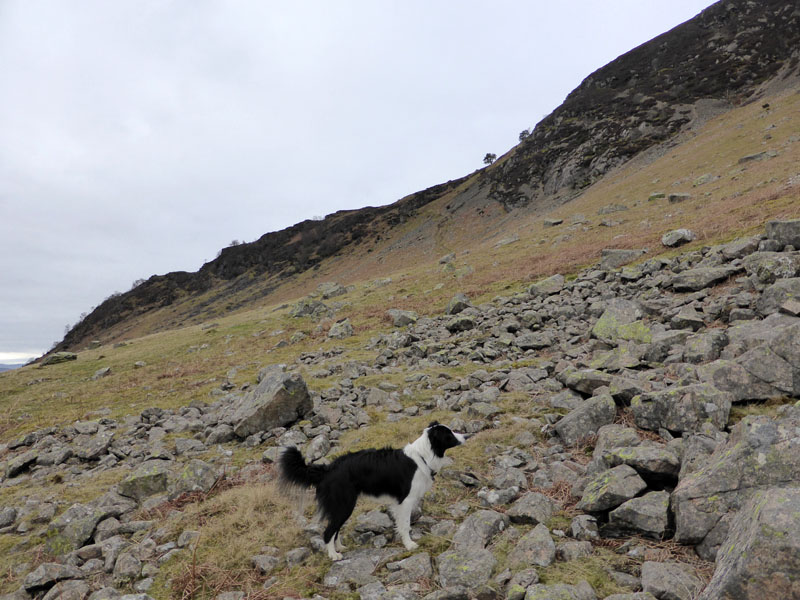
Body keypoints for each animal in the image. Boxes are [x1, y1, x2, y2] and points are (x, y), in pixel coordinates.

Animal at [280, 422, 466, 556]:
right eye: (449, 434)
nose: (466, 435)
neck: (423, 456)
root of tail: (328, 469)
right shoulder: (406, 501)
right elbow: (405, 525)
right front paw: (410, 545)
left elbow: (401, 524)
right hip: (344, 504)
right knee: (328, 531)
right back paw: (334, 556)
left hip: (343, 506)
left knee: (336, 529)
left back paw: (340, 547)